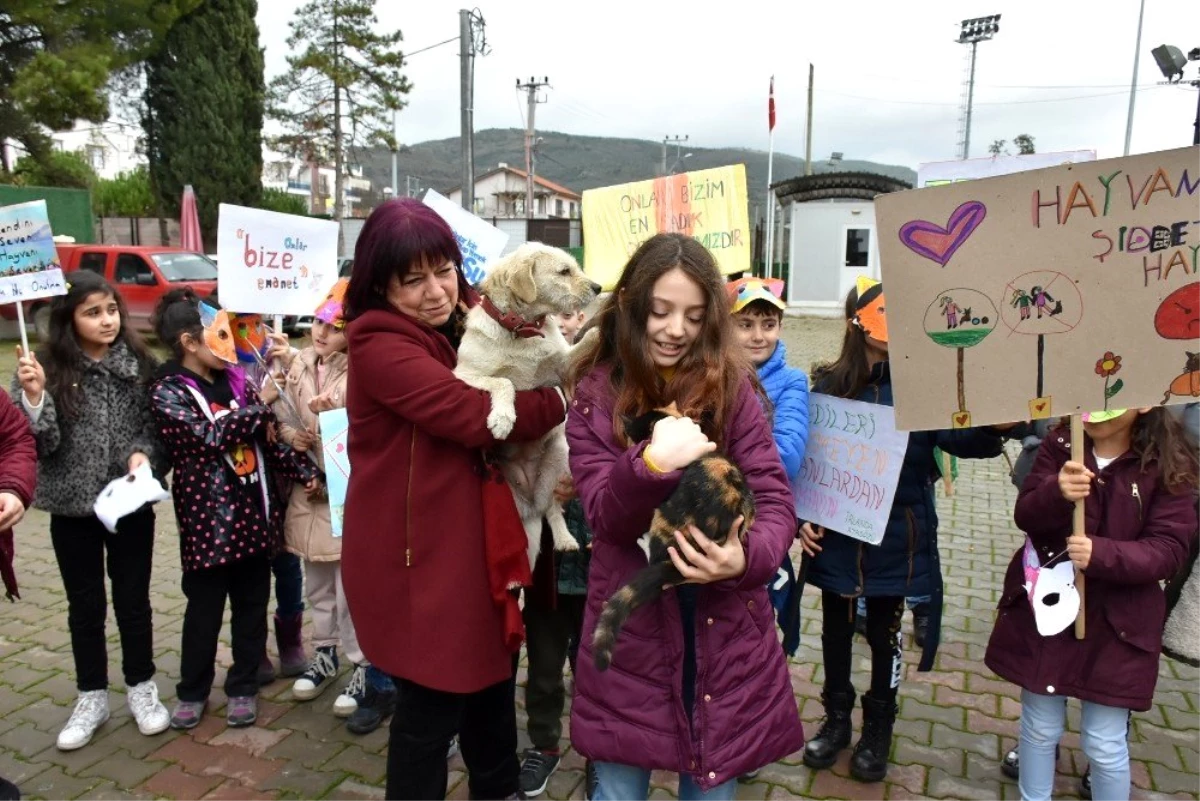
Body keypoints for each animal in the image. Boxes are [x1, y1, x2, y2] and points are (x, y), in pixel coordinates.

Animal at [451, 242, 597, 568]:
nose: (598, 287)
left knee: (553, 509)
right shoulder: (464, 376)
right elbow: (504, 381)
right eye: (564, 271)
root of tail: (530, 504)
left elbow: (586, 342)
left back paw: (565, 539)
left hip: (559, 459)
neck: (524, 329)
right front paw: (503, 419)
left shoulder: (563, 366)